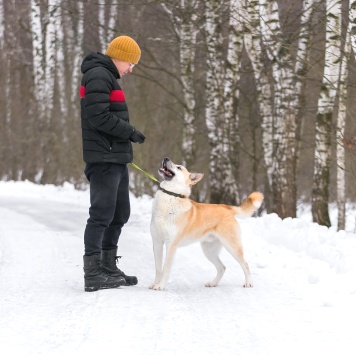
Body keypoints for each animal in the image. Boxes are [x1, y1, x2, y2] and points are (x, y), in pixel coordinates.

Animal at [149, 157, 262, 290]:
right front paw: (155, 284)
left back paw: (248, 282)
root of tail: (227, 207)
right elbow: (158, 269)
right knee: (222, 267)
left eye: (179, 167)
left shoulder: (171, 245)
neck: (171, 196)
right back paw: (213, 283)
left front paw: (161, 286)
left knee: (245, 264)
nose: (166, 158)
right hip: (209, 250)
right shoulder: (157, 242)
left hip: (232, 247)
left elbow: (166, 269)